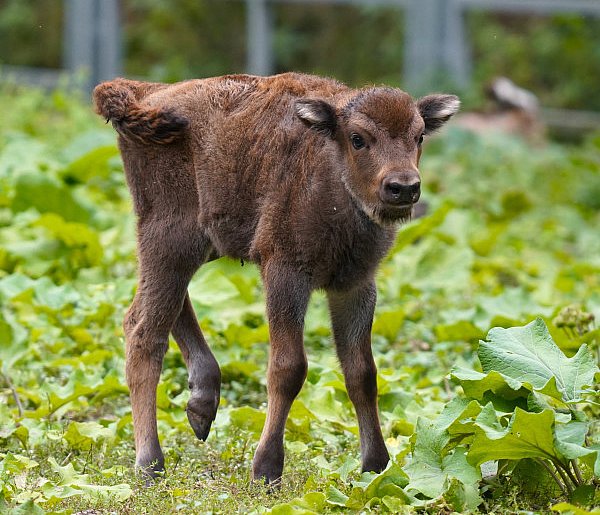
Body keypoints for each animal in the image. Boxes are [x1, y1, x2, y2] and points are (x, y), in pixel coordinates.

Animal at [94, 71, 460, 484]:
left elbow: (362, 373)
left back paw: (202, 406)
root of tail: (146, 92)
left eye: (419, 136)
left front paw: (376, 466)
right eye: (357, 138)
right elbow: (289, 368)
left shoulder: (356, 285)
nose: (403, 187)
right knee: (143, 329)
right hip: (169, 235)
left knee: (163, 307)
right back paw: (150, 464)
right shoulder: (285, 274)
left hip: (201, 242)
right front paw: (267, 469)